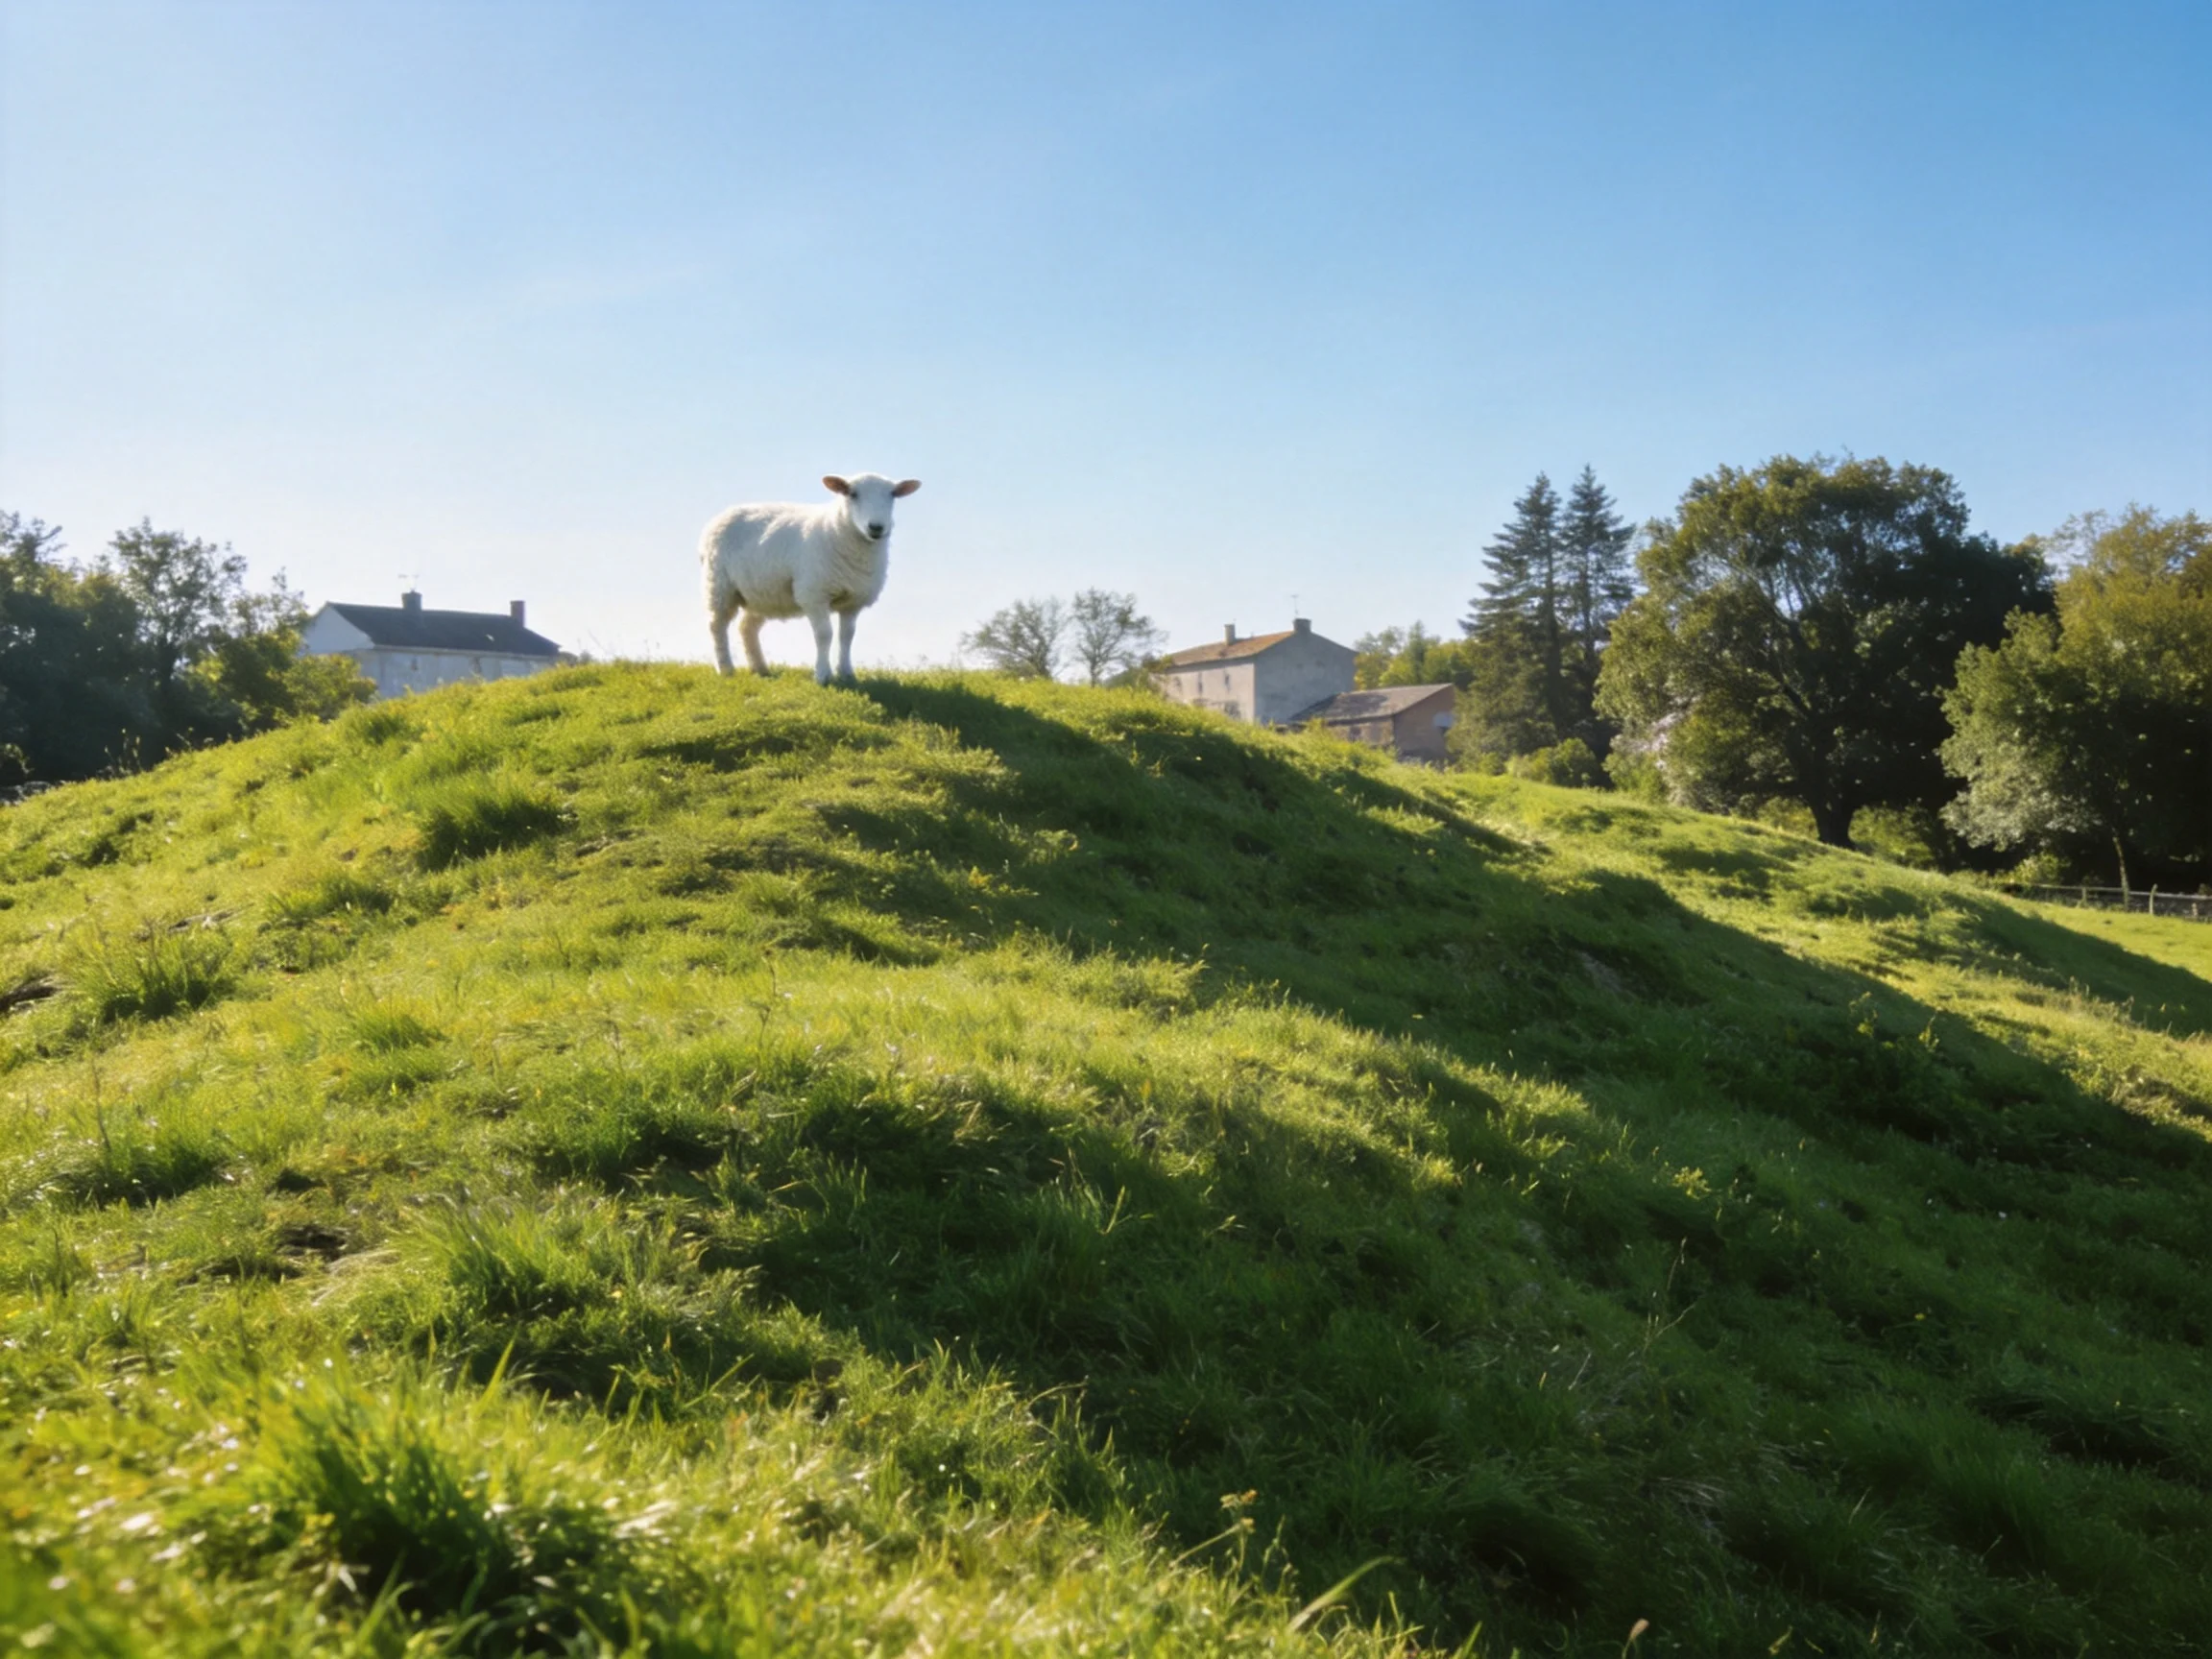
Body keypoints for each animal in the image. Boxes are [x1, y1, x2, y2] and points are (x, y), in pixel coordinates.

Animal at [700, 473, 921, 684]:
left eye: (892, 495)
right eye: (852, 493)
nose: (876, 527)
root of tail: (718, 518)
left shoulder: (852, 602)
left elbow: (847, 636)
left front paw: (847, 673)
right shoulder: (814, 594)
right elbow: (824, 634)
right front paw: (823, 675)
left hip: (762, 593)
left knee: (747, 628)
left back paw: (760, 668)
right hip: (719, 584)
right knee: (717, 625)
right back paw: (726, 668)